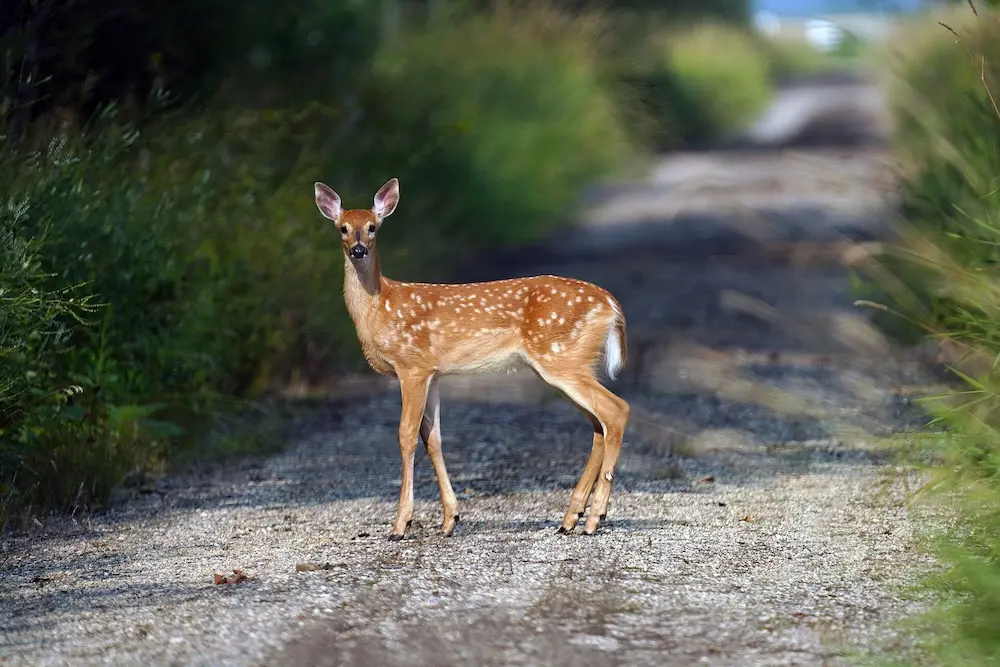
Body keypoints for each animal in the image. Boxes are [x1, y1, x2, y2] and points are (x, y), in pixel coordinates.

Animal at [314, 177, 631, 540]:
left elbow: (406, 435)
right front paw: (449, 519)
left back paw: (594, 518)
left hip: (562, 359)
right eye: (342, 228)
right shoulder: (433, 373)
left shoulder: (412, 366)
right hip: (571, 363)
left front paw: (400, 524)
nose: (358, 250)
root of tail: (611, 304)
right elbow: (433, 439)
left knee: (617, 411)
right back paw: (571, 517)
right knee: (598, 425)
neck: (380, 307)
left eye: (372, 227)